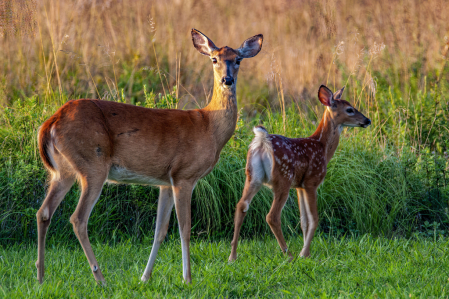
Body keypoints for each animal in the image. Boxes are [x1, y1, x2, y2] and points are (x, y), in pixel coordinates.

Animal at [37, 29, 262, 284]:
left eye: (238, 59)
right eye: (214, 59)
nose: (227, 80)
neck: (208, 125)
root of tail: (51, 121)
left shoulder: (165, 181)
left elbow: (159, 231)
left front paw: (145, 277)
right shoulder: (184, 175)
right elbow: (184, 228)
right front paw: (187, 278)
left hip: (62, 171)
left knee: (43, 212)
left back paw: (41, 277)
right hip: (92, 165)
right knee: (78, 219)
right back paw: (100, 279)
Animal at [228, 85, 372, 262]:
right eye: (349, 109)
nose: (367, 120)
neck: (322, 148)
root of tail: (262, 141)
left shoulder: (299, 186)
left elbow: (303, 220)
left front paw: (305, 251)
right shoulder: (311, 182)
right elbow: (314, 218)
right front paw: (304, 254)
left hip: (252, 176)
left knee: (241, 205)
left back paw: (232, 256)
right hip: (283, 178)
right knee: (272, 216)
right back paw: (288, 254)